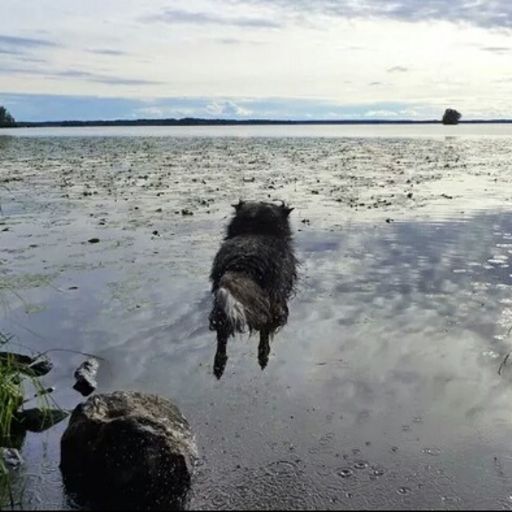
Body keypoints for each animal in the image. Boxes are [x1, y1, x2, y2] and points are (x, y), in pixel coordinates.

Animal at [208, 202, 296, 378]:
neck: (256, 230)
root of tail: (242, 263)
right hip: (273, 302)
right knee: (265, 328)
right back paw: (264, 355)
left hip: (221, 304)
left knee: (221, 333)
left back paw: (219, 364)